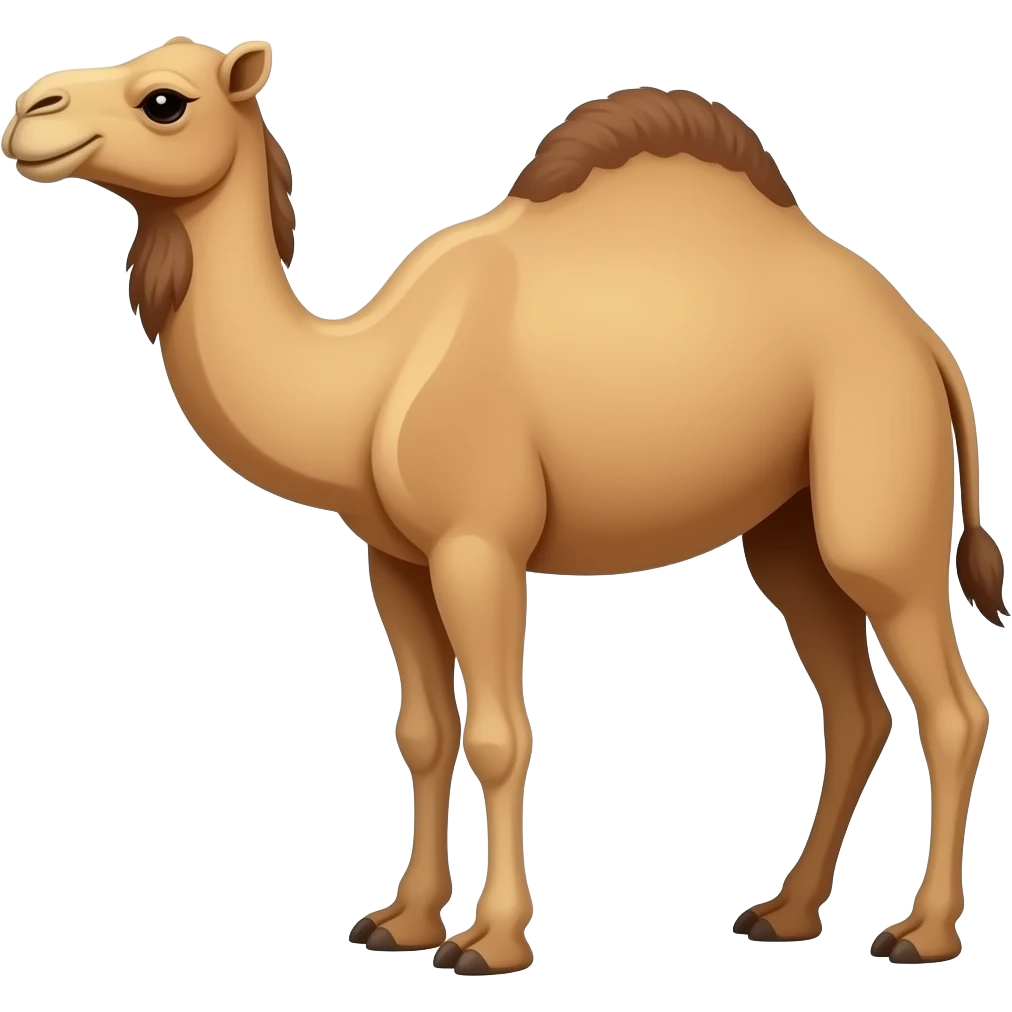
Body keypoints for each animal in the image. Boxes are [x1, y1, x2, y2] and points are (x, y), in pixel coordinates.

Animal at [4, 37, 1006, 974]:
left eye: (164, 100)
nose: (28, 112)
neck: (363, 379)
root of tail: (925, 341)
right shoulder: (394, 558)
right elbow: (421, 731)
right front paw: (401, 922)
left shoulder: (477, 543)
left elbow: (497, 735)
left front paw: (490, 941)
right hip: (788, 531)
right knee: (855, 710)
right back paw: (786, 914)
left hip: (877, 500)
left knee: (952, 708)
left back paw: (921, 933)